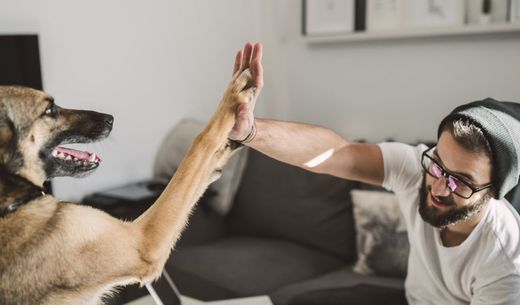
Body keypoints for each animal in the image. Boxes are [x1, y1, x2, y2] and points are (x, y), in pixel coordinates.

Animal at [0, 67, 254, 302]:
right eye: (50, 110)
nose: (110, 118)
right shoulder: (143, 242)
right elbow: (199, 145)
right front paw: (233, 96)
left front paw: (224, 152)